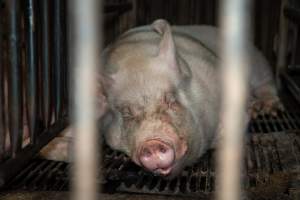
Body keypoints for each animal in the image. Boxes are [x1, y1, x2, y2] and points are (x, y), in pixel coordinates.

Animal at [99, 19, 284, 178]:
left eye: (171, 99)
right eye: (126, 113)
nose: (152, 143)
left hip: (259, 65)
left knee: (267, 84)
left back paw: (265, 109)